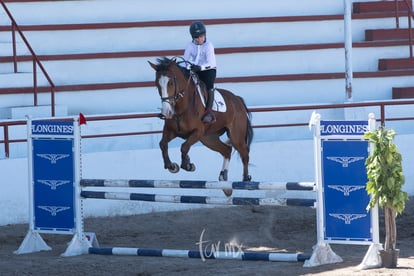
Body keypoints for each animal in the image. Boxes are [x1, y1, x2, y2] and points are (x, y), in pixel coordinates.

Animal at [147, 56, 254, 184]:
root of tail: (238, 100)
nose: (166, 112)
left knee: (244, 154)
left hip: (236, 136)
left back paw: (246, 179)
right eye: (156, 84)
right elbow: (163, 144)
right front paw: (172, 166)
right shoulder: (171, 131)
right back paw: (223, 175)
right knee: (227, 150)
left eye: (171, 83)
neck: (181, 107)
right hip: (208, 138)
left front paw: (187, 165)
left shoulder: (197, 132)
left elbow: (184, 146)